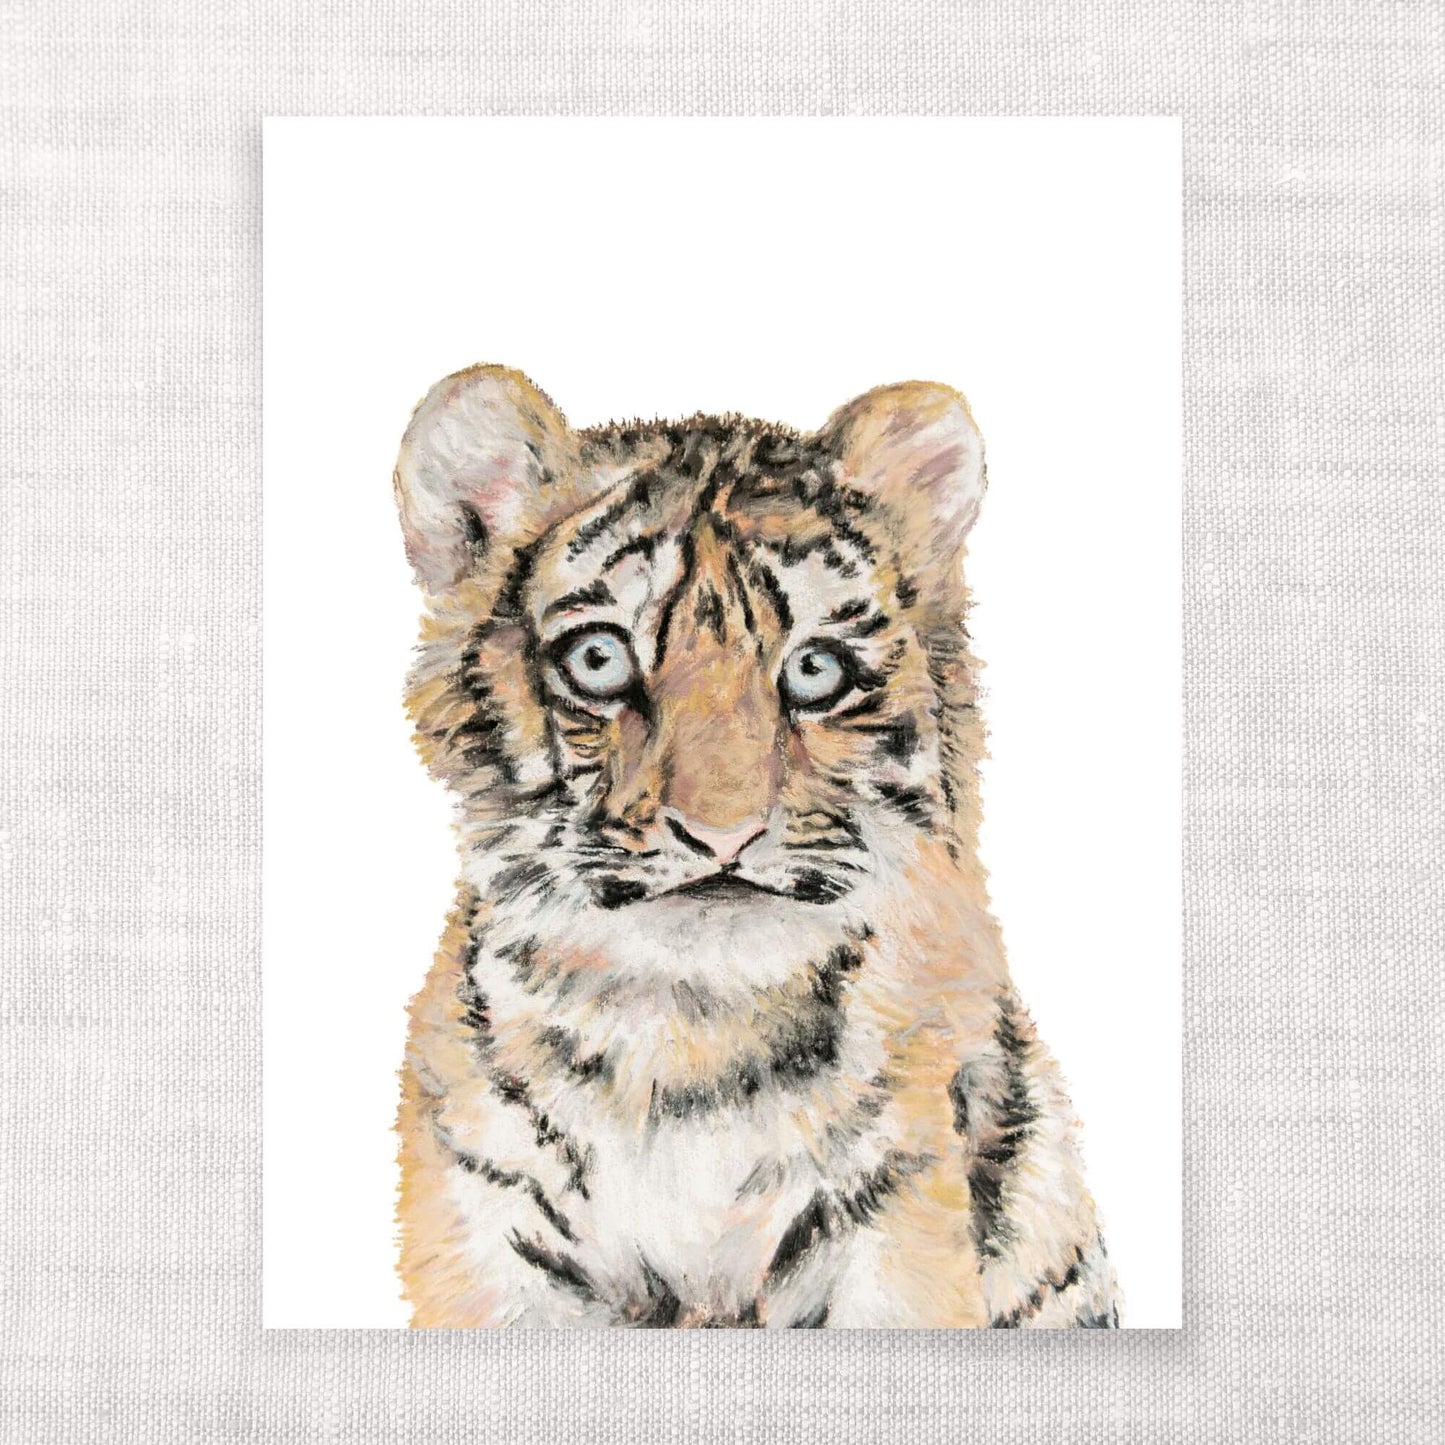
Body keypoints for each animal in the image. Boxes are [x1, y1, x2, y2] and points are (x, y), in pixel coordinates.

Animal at [391, 364, 1120, 1328]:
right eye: (598, 658)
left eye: (815, 669)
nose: (720, 833)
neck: (688, 1033)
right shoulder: (484, 1233)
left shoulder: (896, 1221)